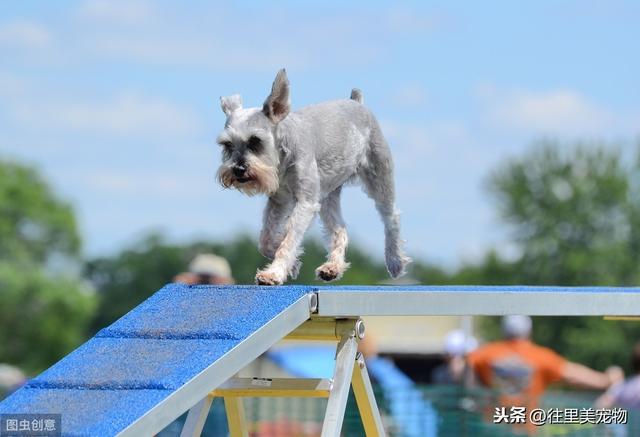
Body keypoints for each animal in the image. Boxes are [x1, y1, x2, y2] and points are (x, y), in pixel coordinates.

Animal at [218, 69, 412, 284]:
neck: (282, 158)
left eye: (255, 140)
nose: (238, 170)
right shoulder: (279, 200)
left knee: (391, 217)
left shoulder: (306, 202)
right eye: (227, 144)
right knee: (339, 229)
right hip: (328, 197)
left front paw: (273, 273)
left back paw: (395, 261)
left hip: (379, 180)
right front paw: (293, 265)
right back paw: (332, 268)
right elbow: (267, 240)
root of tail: (357, 102)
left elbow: (289, 239)